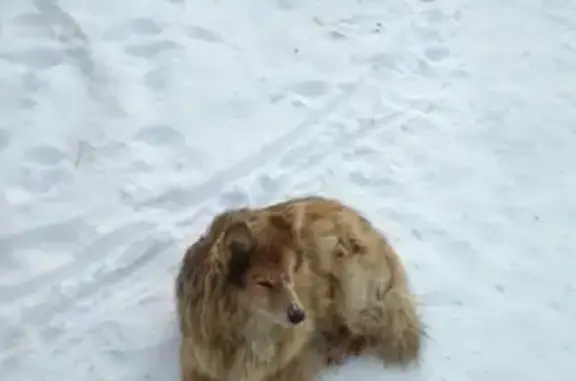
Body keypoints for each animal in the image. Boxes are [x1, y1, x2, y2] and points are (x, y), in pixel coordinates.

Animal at [176, 194, 424, 380]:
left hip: (347, 285)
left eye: (289, 276)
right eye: (264, 283)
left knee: (369, 331)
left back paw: (338, 350)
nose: (299, 316)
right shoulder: (197, 362)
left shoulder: (292, 358)